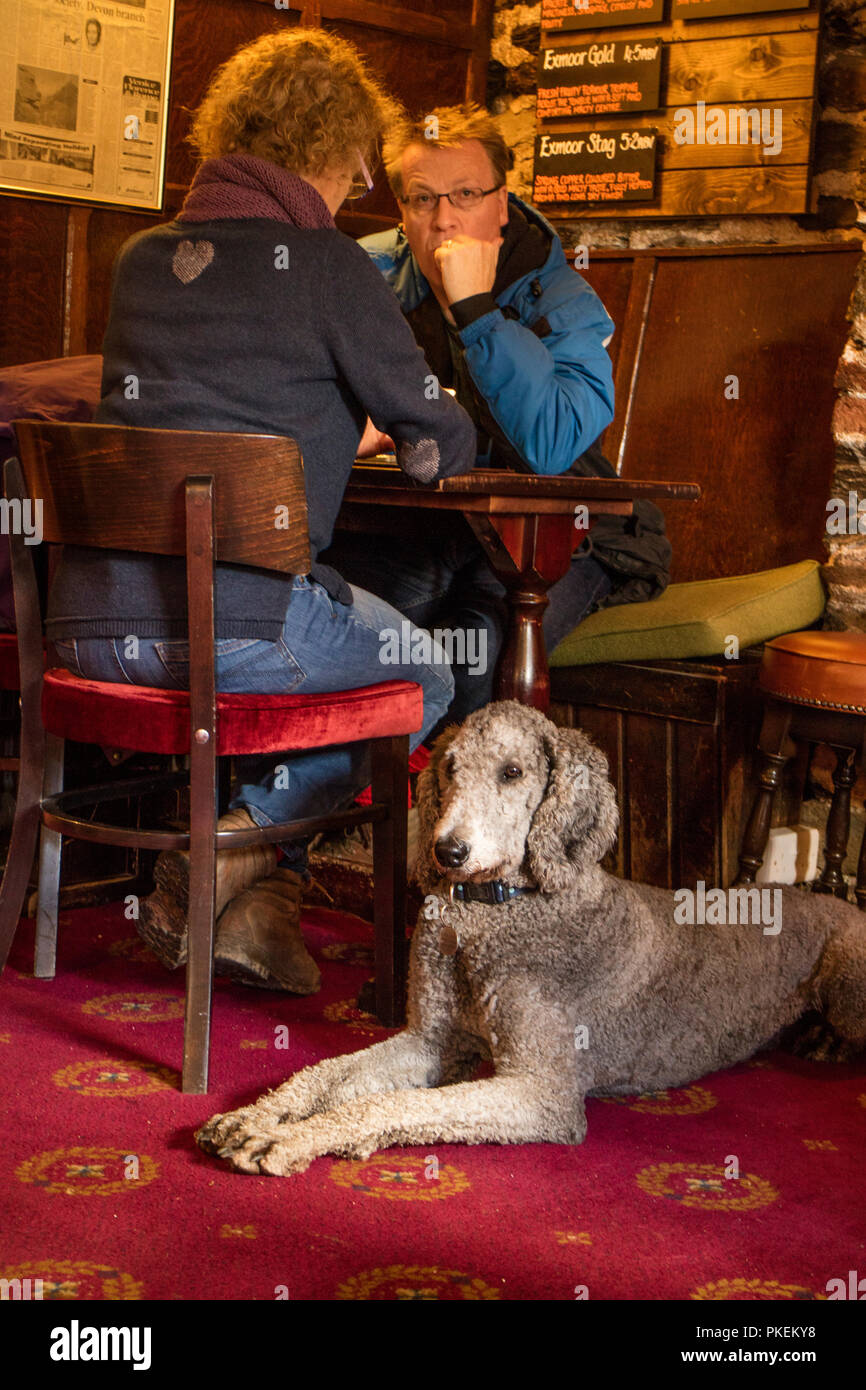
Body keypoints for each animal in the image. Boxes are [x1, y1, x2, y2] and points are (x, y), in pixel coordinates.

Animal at [195, 706, 866, 1173]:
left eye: (513, 772)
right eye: (449, 768)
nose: (447, 851)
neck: (490, 915)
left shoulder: (542, 1091)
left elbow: (395, 1106)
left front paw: (292, 1138)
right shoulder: (431, 1040)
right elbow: (326, 1074)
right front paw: (255, 1116)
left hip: (848, 986)